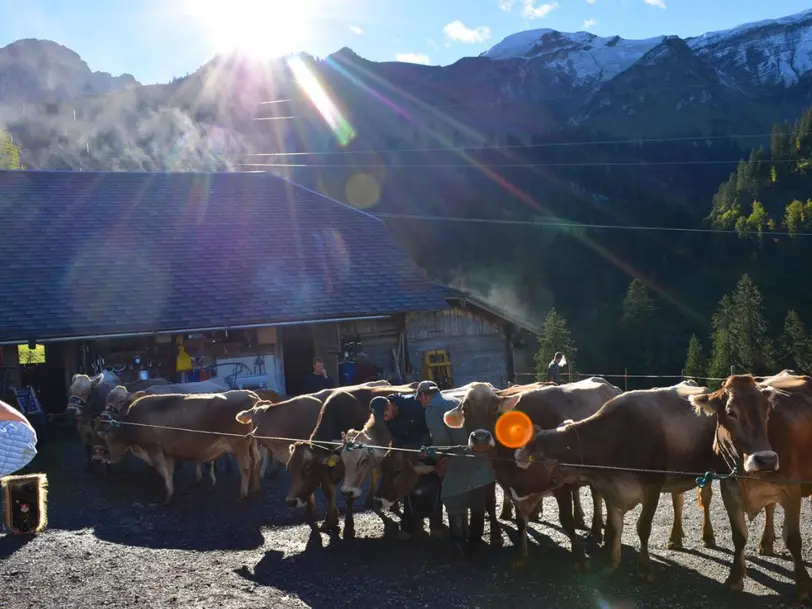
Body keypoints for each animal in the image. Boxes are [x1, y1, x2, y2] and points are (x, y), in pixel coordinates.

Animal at [95, 390, 262, 504]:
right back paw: (254, 488)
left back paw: (243, 494)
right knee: (256, 461)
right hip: (252, 444)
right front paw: (171, 492)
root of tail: (250, 394)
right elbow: (168, 471)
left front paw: (167, 497)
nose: (106, 457)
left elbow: (163, 471)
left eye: (108, 440)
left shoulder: (154, 448)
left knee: (246, 466)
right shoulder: (167, 452)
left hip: (240, 445)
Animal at [440, 378, 620, 568]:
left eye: (495, 408)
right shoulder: (511, 487)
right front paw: (521, 556)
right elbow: (520, 522)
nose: (480, 438)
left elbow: (566, 520)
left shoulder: (561, 485)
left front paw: (578, 556)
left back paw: (602, 533)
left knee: (601, 498)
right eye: (465, 409)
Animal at [512, 382, 716, 576]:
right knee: (678, 500)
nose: (514, 495)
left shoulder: (653, 487)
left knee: (706, 499)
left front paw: (644, 569)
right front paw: (612, 563)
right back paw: (676, 537)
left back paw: (708, 536)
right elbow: (616, 526)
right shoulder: (610, 490)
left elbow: (643, 527)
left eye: (528, 462)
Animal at [688, 372, 812, 600]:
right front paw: (735, 578)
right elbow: (739, 536)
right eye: (731, 412)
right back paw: (766, 542)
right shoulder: (729, 488)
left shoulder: (792, 489)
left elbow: (793, 539)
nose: (767, 460)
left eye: (768, 411)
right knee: (770, 508)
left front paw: (804, 586)